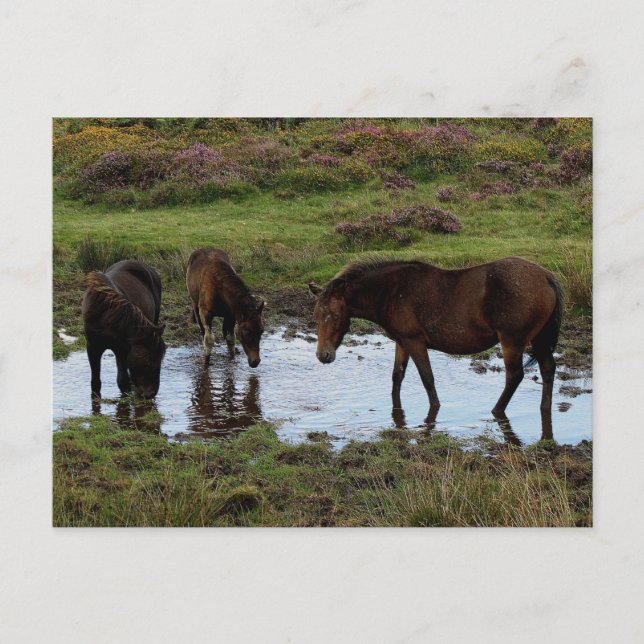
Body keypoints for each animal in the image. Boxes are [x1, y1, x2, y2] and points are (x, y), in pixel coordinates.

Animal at [82, 260, 166, 399]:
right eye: (150, 359)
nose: (151, 394)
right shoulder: (93, 348)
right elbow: (96, 384)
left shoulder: (122, 350)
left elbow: (123, 382)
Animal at [308, 256, 563, 426]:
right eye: (316, 316)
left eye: (336, 315)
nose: (323, 355)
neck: (389, 292)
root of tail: (547, 277)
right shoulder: (402, 341)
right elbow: (397, 377)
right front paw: (396, 410)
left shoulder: (415, 341)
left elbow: (427, 379)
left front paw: (435, 410)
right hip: (539, 339)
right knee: (548, 369)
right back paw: (544, 407)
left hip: (512, 340)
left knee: (514, 375)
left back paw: (497, 410)